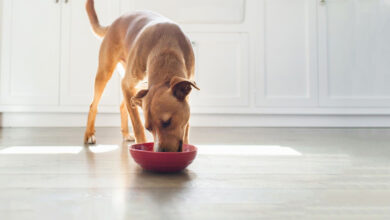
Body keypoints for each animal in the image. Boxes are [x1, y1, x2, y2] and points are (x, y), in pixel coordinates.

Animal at [82, 0, 198, 152]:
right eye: (149, 128)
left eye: (167, 122)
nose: (159, 153)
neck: (166, 48)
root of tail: (113, 24)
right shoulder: (127, 85)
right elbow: (137, 124)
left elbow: (186, 126)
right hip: (105, 73)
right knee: (93, 105)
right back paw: (89, 134)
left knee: (122, 106)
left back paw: (125, 134)